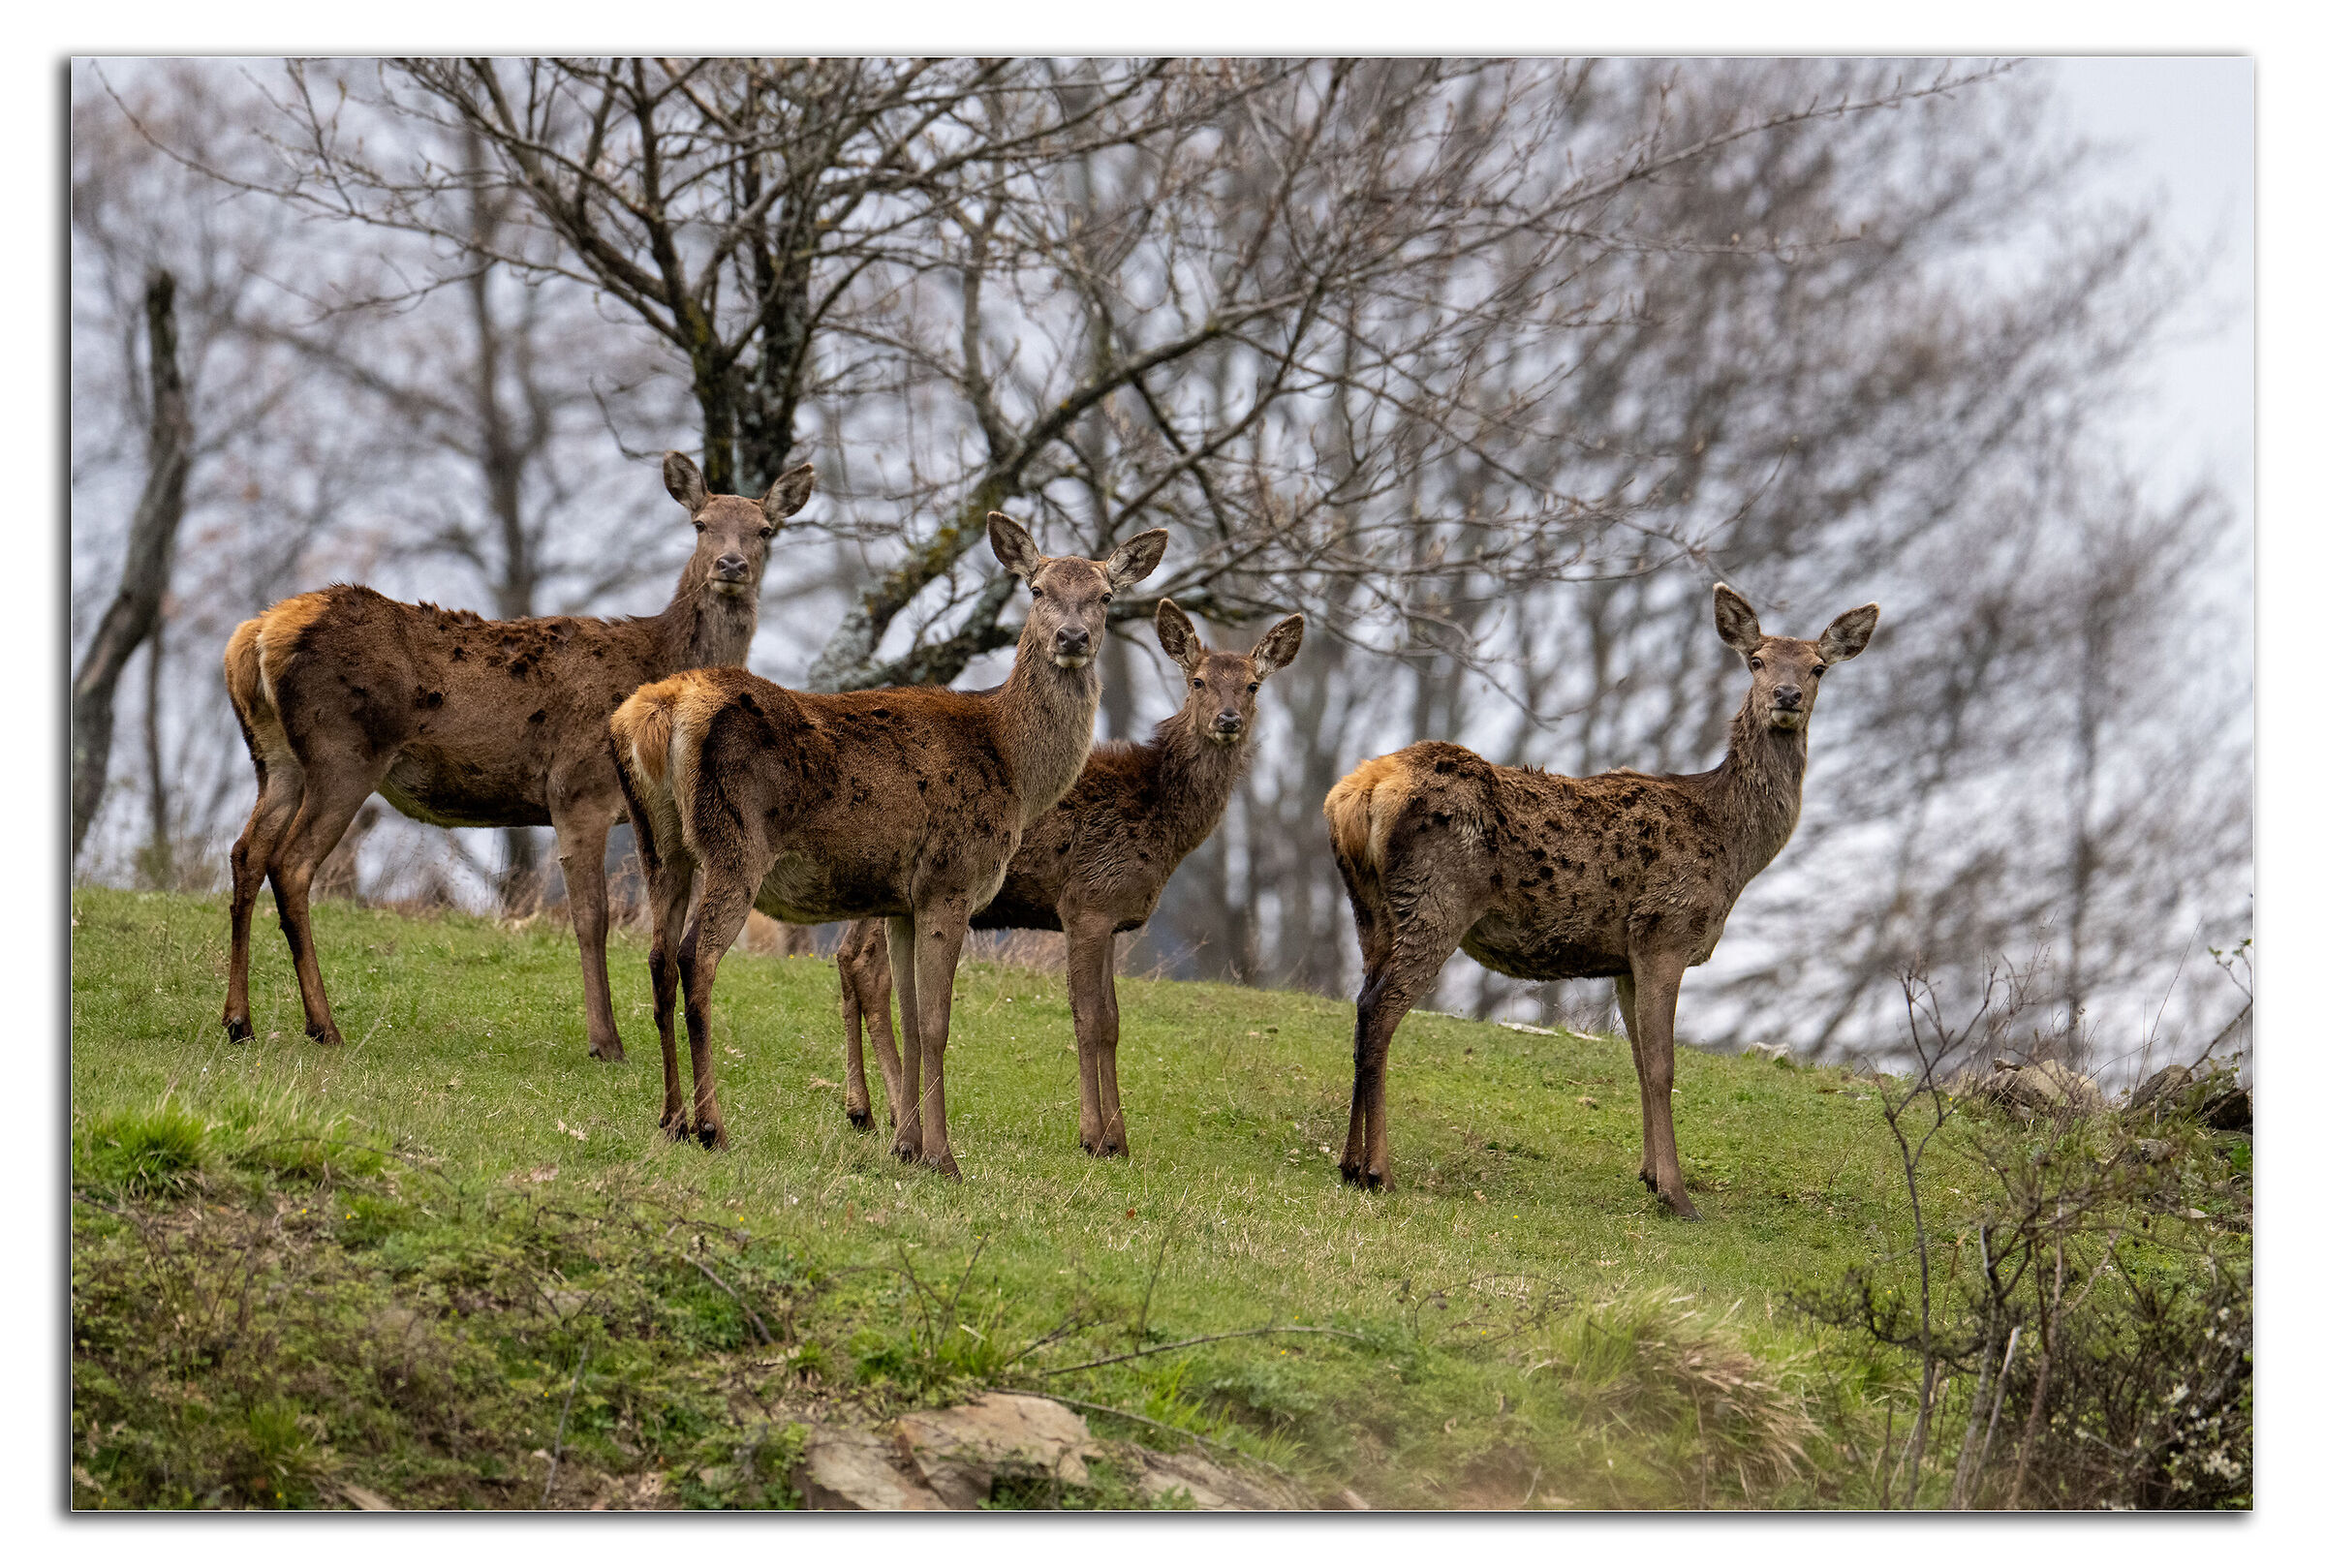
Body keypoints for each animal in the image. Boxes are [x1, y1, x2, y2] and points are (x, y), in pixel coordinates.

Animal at [219, 452, 815, 1058]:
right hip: (344, 753)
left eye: (765, 529)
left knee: (246, 852)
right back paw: (323, 1026)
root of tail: (258, 633)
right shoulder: (578, 789)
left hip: (275, 759)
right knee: (291, 863)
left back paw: (239, 1022)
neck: (658, 662)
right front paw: (606, 1042)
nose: (730, 564)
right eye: (700, 524)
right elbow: (591, 917)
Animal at [606, 514, 1168, 1170]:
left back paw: (671, 1119)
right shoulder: (951, 880)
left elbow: (907, 1013)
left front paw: (906, 1146)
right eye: (1036, 590)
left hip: (657, 841)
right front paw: (944, 1159)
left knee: (657, 957)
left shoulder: (902, 902)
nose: (1073, 637)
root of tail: (660, 710)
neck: (1015, 767)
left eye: (1105, 597)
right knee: (696, 956)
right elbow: (936, 1022)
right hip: (735, 844)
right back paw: (711, 1126)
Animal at [833, 599, 1305, 1157]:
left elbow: (1114, 1022)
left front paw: (1119, 1139)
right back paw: (883, 1110)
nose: (1227, 719)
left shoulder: (1115, 916)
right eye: (1198, 681)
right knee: (865, 965)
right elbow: (1088, 1017)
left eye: (1252, 685)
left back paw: (865, 1109)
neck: (1161, 823)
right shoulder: (1086, 902)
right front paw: (1092, 1136)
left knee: (850, 958)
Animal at [1322, 583, 1878, 1219]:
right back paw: (1379, 1171)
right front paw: (1678, 1197)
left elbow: (1637, 1061)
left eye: (1817, 667)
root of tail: (1360, 790)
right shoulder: (1664, 932)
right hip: (1438, 900)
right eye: (1756, 661)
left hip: (1369, 907)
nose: (1787, 696)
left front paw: (1650, 1176)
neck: (1733, 847)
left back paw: (1349, 1164)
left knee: (1361, 1005)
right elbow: (1662, 1066)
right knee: (1381, 1009)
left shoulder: (1626, 959)